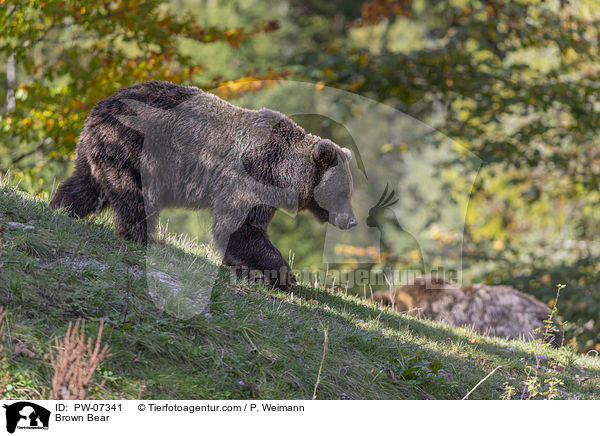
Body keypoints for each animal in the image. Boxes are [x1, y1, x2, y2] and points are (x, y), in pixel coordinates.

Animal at [51, 80, 356, 290]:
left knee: (86, 186)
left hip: (100, 151)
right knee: (134, 198)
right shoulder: (250, 178)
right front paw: (283, 274)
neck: (284, 173)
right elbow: (239, 228)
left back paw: (61, 208)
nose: (351, 220)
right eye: (342, 192)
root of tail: (99, 106)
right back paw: (142, 237)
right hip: (134, 149)